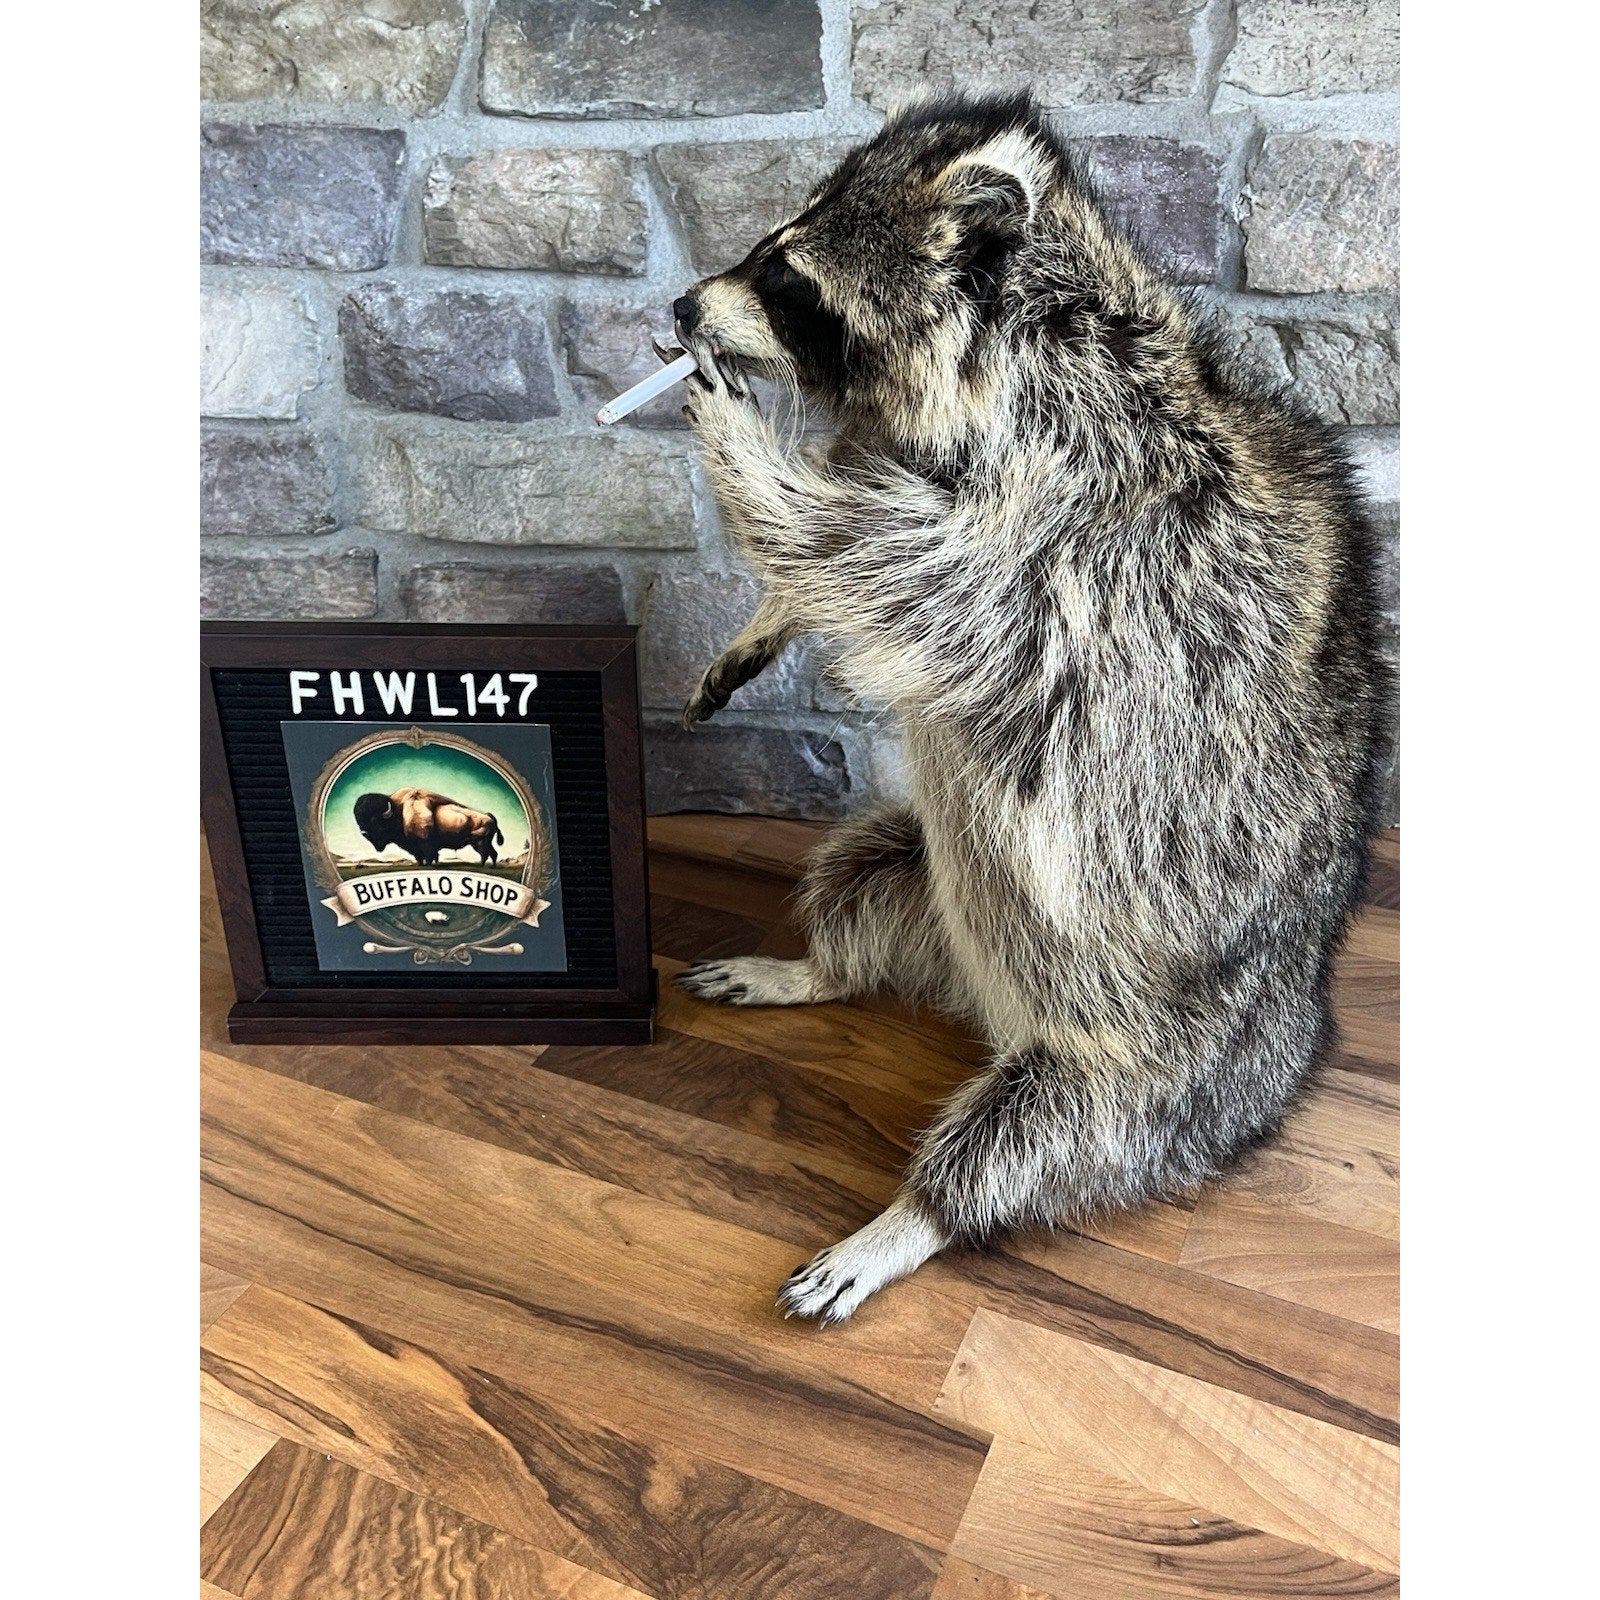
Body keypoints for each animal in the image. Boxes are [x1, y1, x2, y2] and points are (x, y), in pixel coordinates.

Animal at [669, 93, 1393, 1323]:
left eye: (787, 279)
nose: (679, 309)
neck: (1034, 343)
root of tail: (983, 1007)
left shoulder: (1080, 520)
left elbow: (888, 569)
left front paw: (744, 447)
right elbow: (849, 568)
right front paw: (765, 617)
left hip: (1168, 1063)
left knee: (1049, 1134)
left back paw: (916, 1212)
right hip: (913, 874)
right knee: (856, 868)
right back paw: (821, 966)